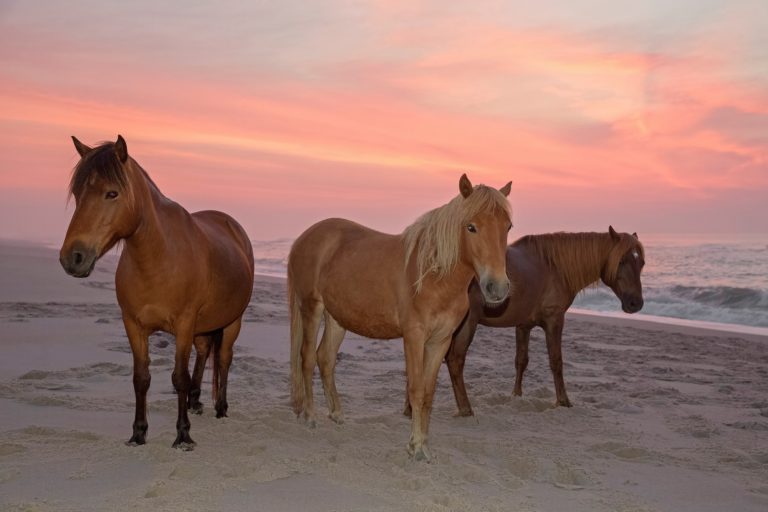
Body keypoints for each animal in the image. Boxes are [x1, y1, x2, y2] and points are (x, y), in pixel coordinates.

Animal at [59, 135, 254, 449]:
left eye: (112, 193)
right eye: (78, 194)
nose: (73, 258)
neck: (158, 259)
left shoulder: (184, 325)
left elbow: (179, 378)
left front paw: (183, 435)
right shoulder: (134, 325)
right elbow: (141, 378)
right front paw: (138, 433)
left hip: (232, 321)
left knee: (224, 359)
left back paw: (220, 408)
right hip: (204, 326)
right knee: (204, 353)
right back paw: (195, 402)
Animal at [288, 174, 512, 461]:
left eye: (508, 227)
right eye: (471, 227)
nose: (497, 288)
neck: (434, 277)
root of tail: (305, 237)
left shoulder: (440, 341)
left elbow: (428, 394)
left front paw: (423, 444)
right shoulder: (414, 337)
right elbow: (415, 390)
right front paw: (415, 447)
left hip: (337, 318)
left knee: (325, 358)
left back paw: (336, 413)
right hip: (311, 308)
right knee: (306, 359)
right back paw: (310, 416)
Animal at [426, 227, 644, 417]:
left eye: (641, 263)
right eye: (621, 261)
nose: (636, 303)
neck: (555, 267)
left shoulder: (523, 325)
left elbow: (521, 361)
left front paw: (516, 395)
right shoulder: (554, 320)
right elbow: (556, 361)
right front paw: (563, 401)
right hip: (467, 323)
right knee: (455, 360)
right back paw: (465, 409)